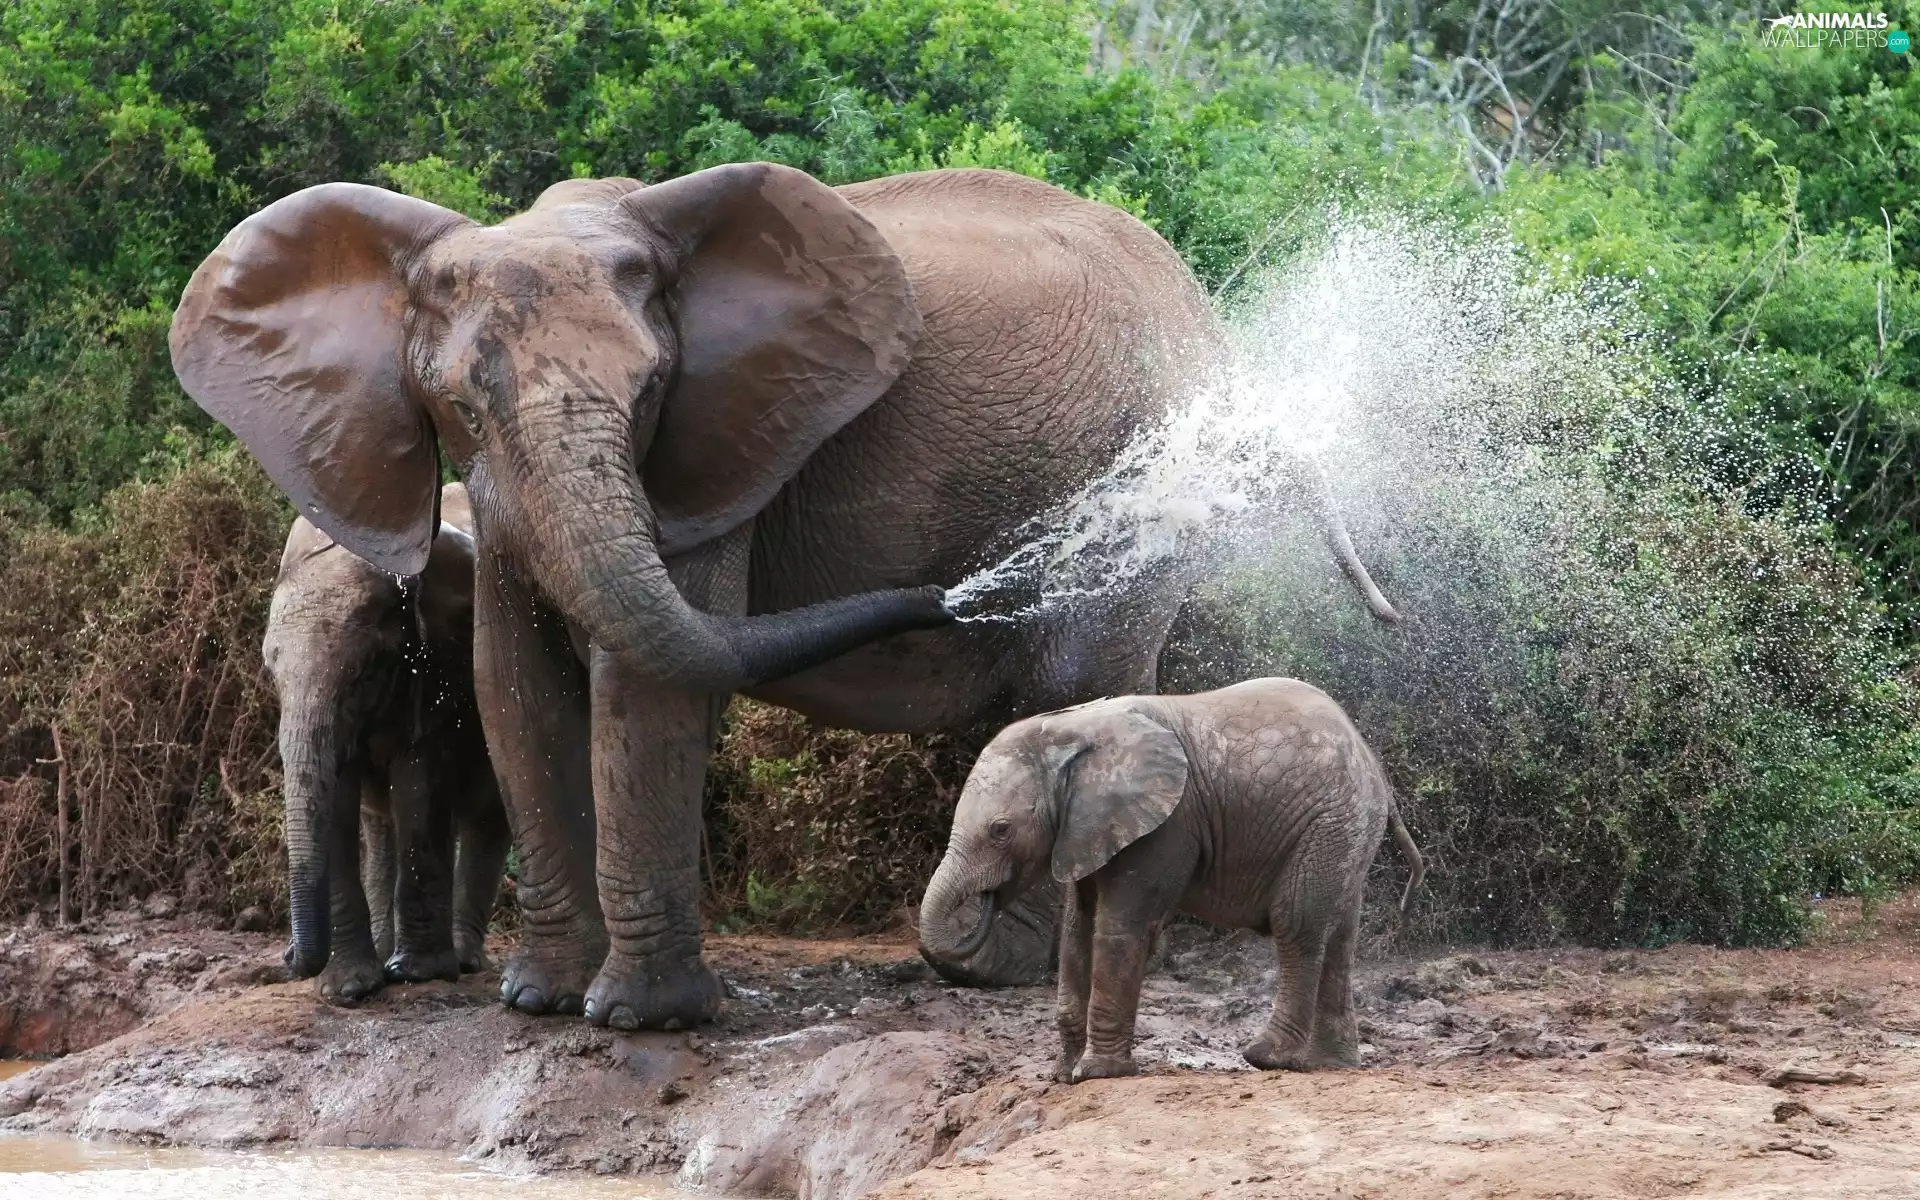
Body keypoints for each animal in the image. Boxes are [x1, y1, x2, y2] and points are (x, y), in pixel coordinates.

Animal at [263, 482, 511, 1003]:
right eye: (271, 673)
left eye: (364, 669)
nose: (287, 959)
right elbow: (339, 797)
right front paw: (348, 989)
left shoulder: (439, 666)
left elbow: (418, 780)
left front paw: (418, 974)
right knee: (381, 825)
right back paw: (385, 952)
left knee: (486, 813)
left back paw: (461, 960)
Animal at [917, 678, 1424, 1082]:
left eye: (1000, 831)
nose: (985, 902)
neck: (1073, 729)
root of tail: (1374, 766)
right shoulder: (1087, 829)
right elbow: (1078, 931)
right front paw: (1062, 1075)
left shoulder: (1167, 825)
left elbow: (1120, 928)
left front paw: (1097, 1074)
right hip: (1347, 830)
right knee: (1339, 935)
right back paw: (1330, 1064)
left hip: (1331, 821)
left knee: (1297, 922)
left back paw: (1266, 1057)